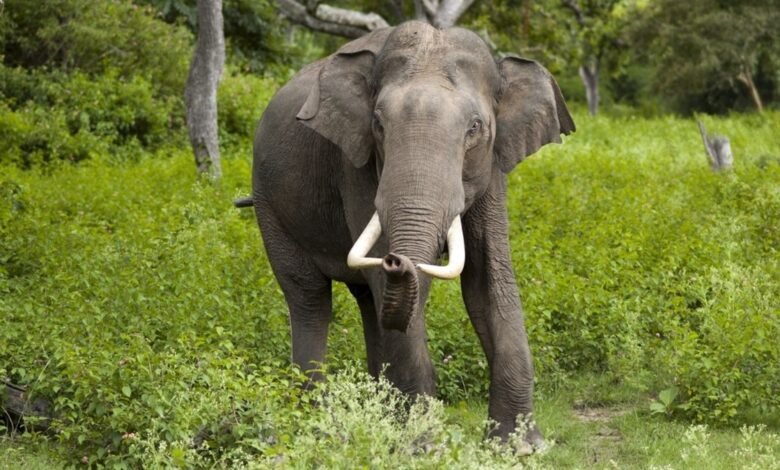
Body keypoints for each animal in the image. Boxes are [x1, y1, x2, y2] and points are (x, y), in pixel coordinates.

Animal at [247, 20, 574, 448]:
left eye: (475, 128)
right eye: (378, 125)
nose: (395, 259)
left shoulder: (492, 167)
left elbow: (488, 280)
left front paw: (520, 447)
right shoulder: (356, 164)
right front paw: (423, 446)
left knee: (368, 302)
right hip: (269, 204)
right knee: (310, 298)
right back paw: (318, 425)